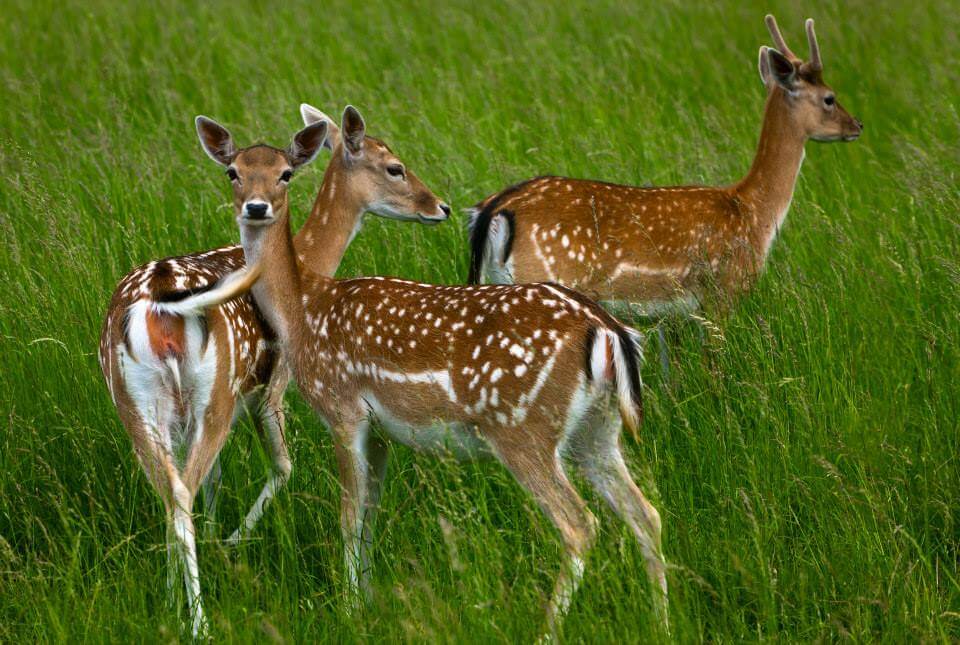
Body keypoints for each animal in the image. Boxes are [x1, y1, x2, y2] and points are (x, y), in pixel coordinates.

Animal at [97, 105, 450, 632]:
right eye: (395, 167)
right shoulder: (275, 387)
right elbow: (284, 466)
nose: (440, 207)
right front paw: (230, 545)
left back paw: (171, 604)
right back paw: (200, 622)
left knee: (170, 488)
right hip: (217, 392)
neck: (306, 266)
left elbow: (215, 480)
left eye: (284, 173)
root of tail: (158, 308)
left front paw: (204, 553)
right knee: (182, 490)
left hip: (135, 400)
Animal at [197, 118, 668, 636]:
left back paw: (547, 629)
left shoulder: (341, 407)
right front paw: (366, 601)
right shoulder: (381, 430)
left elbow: (347, 518)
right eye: (234, 172)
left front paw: (348, 610)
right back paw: (663, 621)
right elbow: (369, 517)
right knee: (647, 514)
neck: (303, 308)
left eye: (285, 174)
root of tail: (606, 331)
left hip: (523, 427)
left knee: (580, 525)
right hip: (597, 429)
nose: (255, 207)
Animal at [468, 15, 868, 372]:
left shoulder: (670, 317)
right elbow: (714, 370)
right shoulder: (720, 294)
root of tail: (496, 208)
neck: (753, 213)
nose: (857, 125)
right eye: (829, 98)